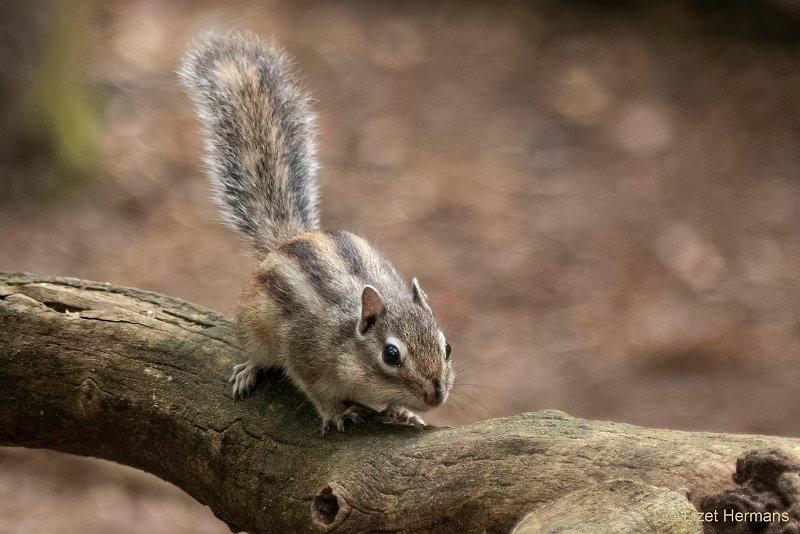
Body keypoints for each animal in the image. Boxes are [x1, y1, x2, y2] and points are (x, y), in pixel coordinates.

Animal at [182, 31, 456, 436]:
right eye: (391, 354)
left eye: (447, 347)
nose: (436, 395)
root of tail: (287, 240)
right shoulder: (305, 354)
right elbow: (313, 389)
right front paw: (335, 413)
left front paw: (402, 412)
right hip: (255, 329)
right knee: (257, 352)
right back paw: (250, 370)